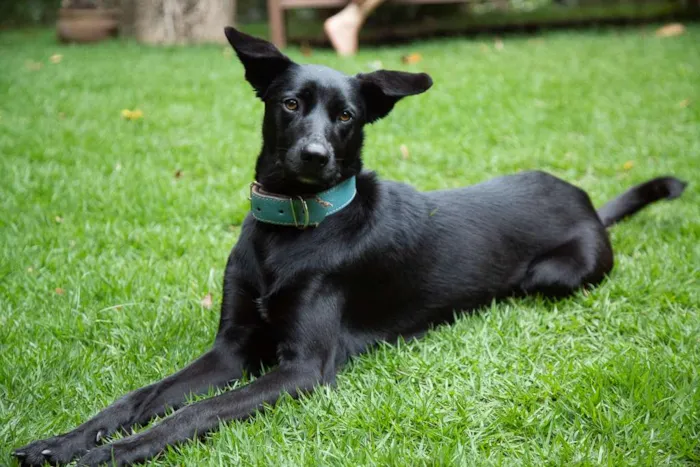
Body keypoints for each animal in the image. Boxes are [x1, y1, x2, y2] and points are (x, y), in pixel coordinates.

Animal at [13, 27, 688, 466]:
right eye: (290, 104)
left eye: (347, 117)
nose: (315, 156)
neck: (291, 231)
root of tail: (587, 203)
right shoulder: (231, 351)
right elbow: (141, 398)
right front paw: (62, 442)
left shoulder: (302, 370)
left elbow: (190, 414)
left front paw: (111, 455)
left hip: (553, 278)